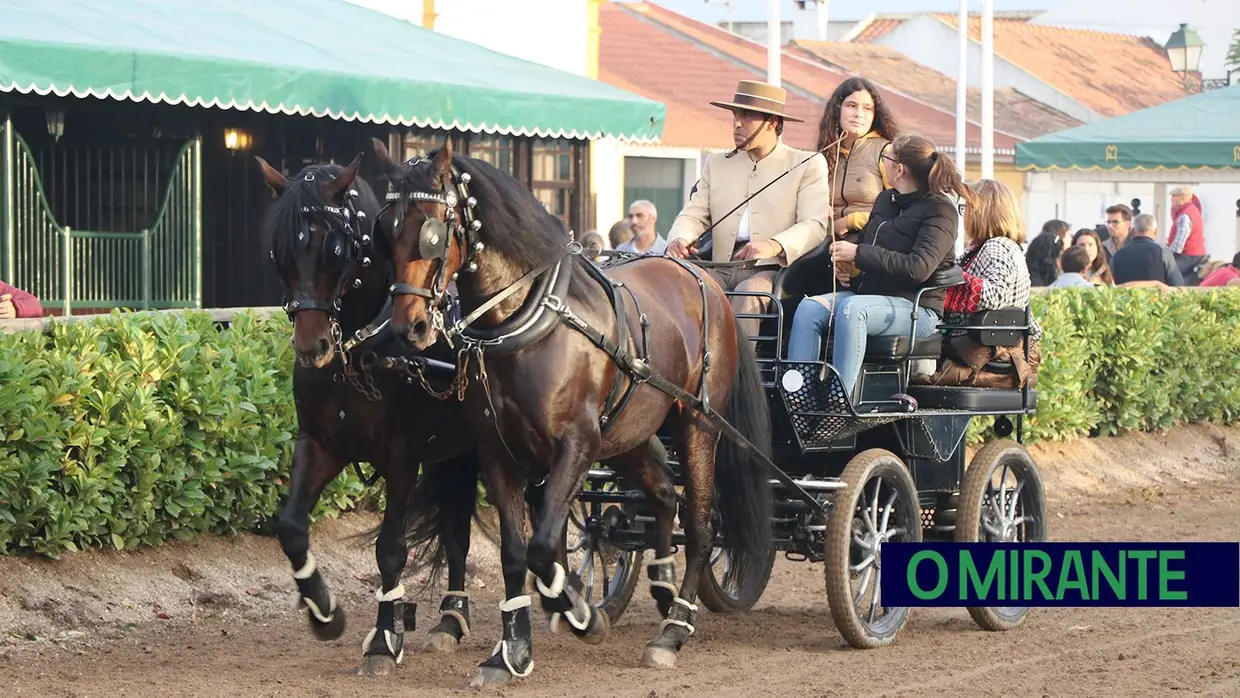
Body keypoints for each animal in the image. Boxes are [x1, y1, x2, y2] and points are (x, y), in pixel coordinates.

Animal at [255, 156, 483, 679]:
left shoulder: (401, 457)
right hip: (457, 452)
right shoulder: (320, 444)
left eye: (335, 247)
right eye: (278, 248)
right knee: (456, 531)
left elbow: (390, 550)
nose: (311, 346)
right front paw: (323, 610)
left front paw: (382, 640)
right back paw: (451, 618)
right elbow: (291, 527)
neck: (361, 349)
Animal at [369, 138, 773, 689]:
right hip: (627, 434)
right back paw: (661, 585)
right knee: (663, 495)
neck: (527, 318)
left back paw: (673, 629)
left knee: (700, 524)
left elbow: (542, 547)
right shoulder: (499, 452)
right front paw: (511, 650)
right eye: (385, 232)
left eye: (433, 230)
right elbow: (516, 553)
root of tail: (704, 278)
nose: (407, 327)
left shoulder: (577, 445)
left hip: (696, 427)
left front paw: (582, 612)